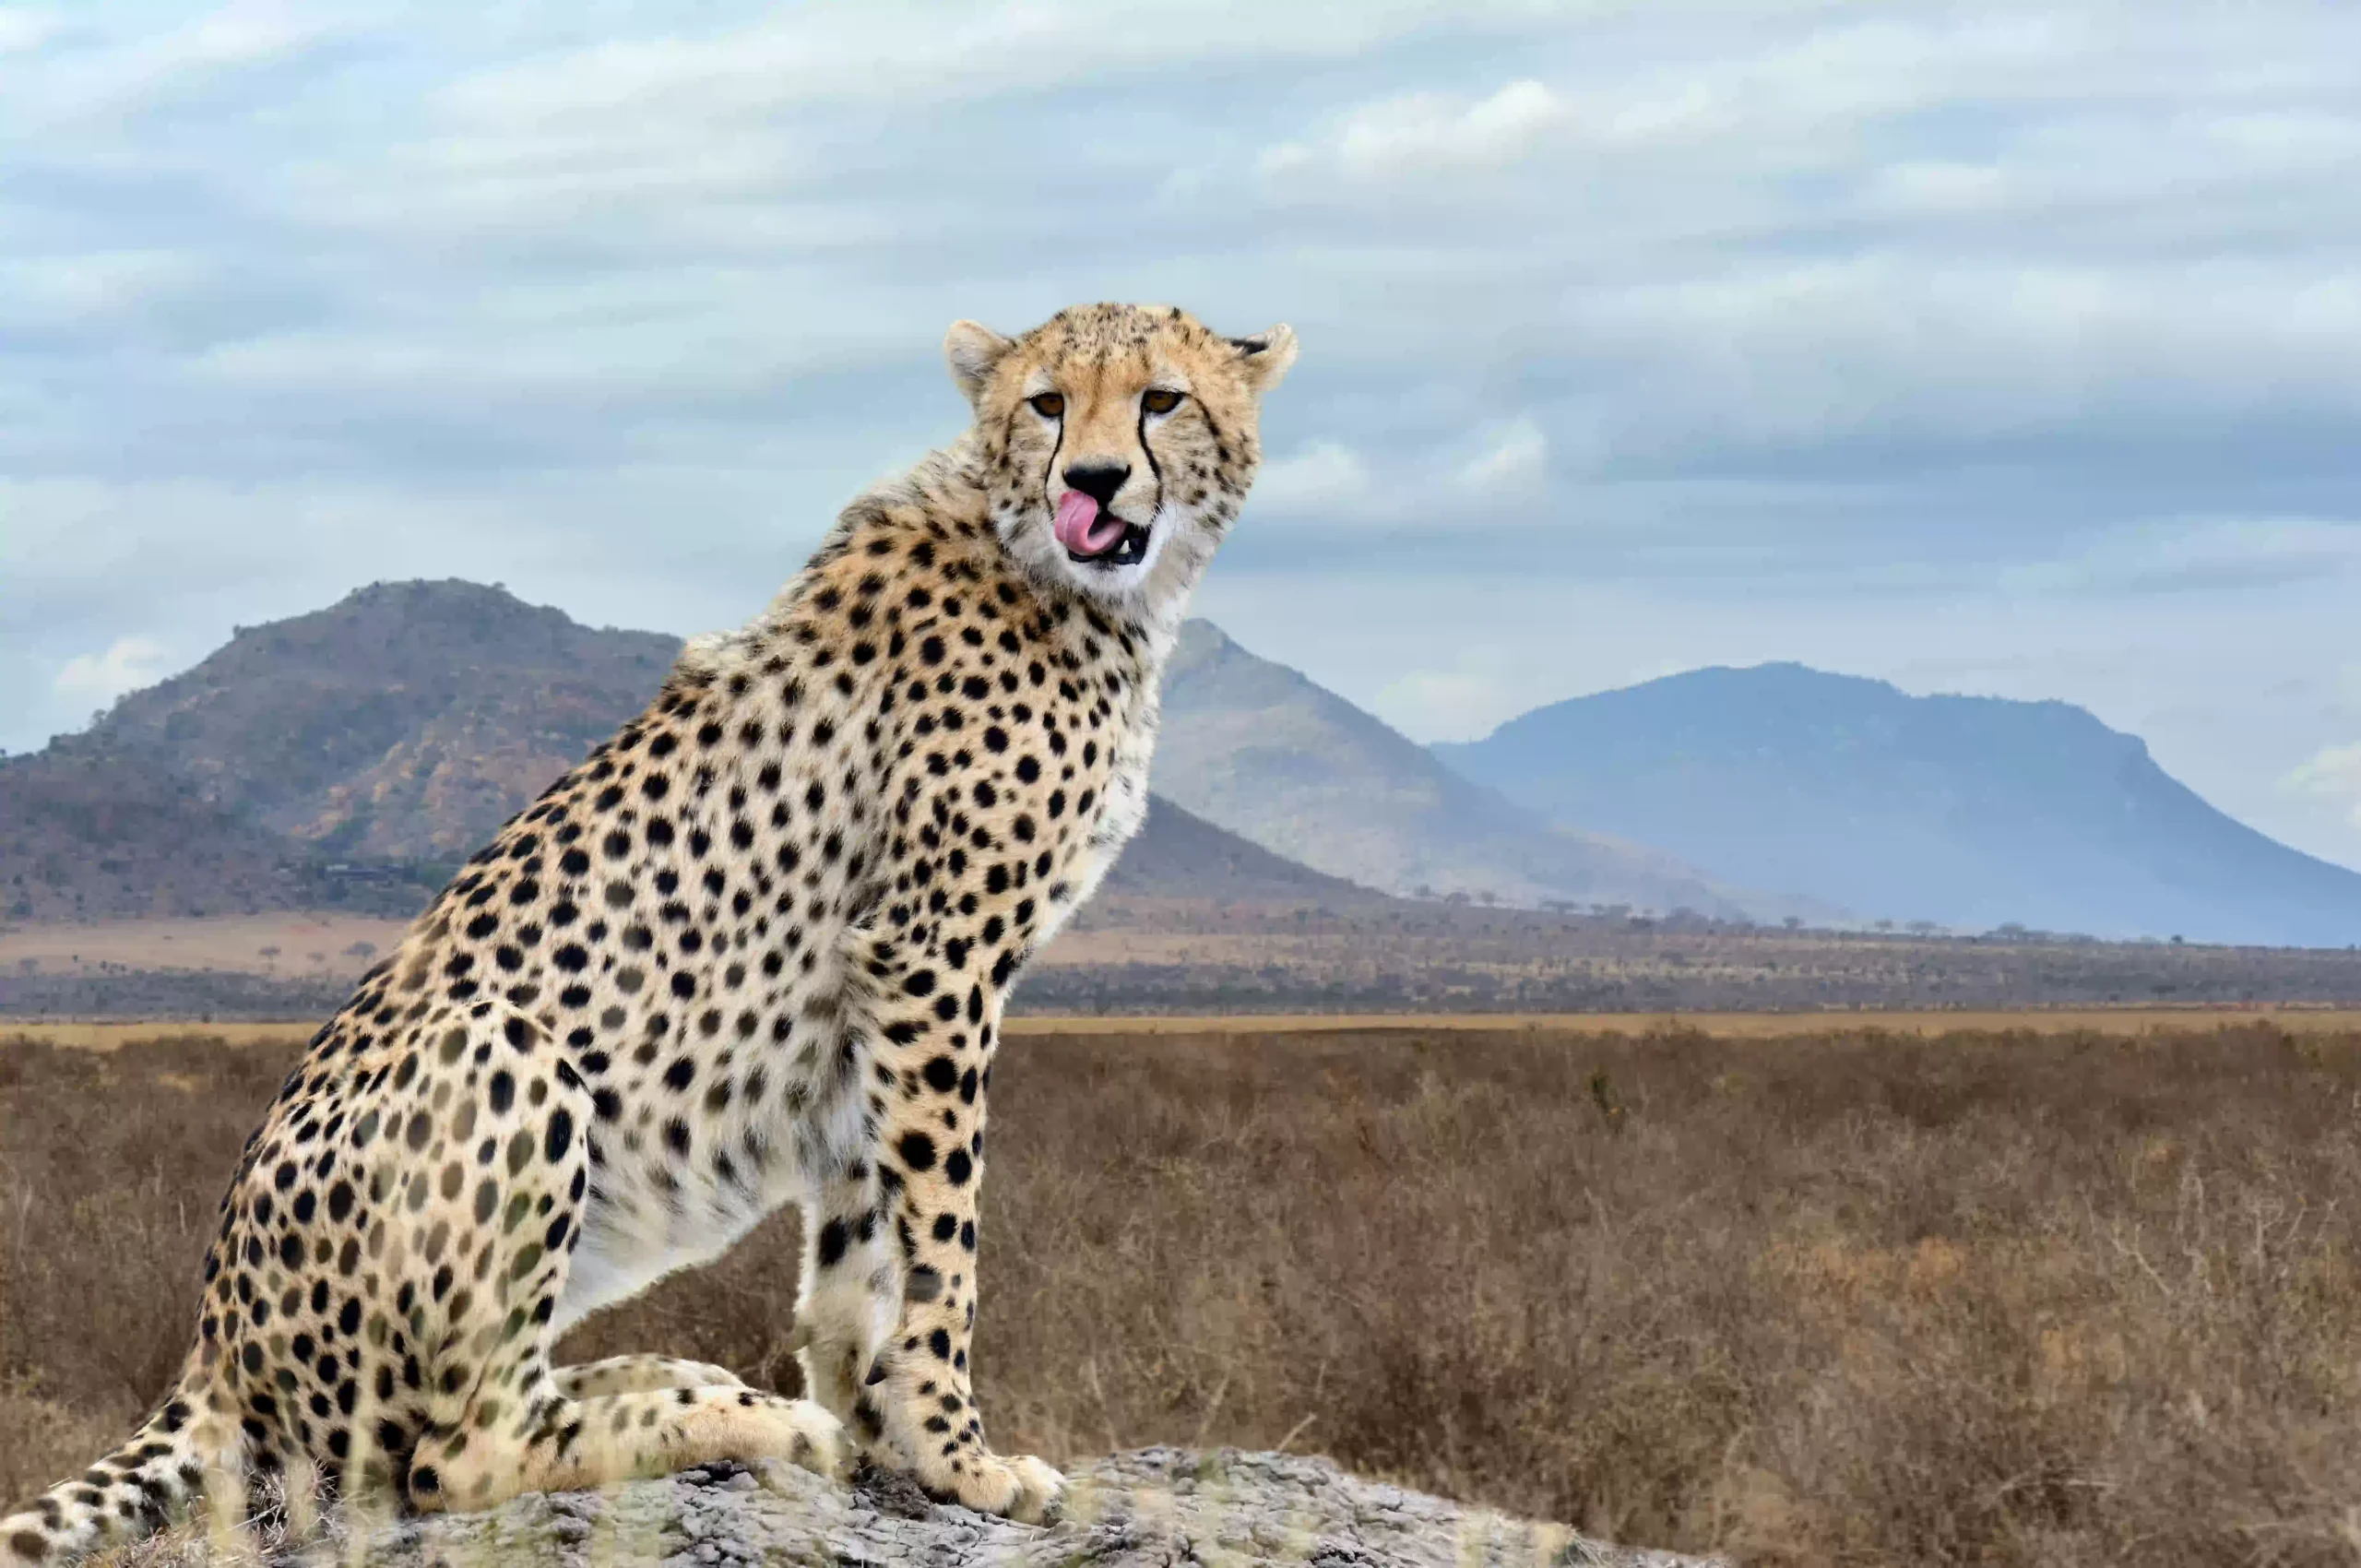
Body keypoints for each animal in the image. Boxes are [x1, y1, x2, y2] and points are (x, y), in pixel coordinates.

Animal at [1, 301, 1297, 1563]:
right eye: (1045, 404)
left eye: (1160, 399)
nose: (1092, 480)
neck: (1069, 576)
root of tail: (209, 1345)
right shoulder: (934, 956)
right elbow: (941, 1241)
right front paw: (956, 1454)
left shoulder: (877, 997)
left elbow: (857, 1245)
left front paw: (880, 1432)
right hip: (503, 1047)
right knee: (447, 1456)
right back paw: (729, 1416)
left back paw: (683, 1379)